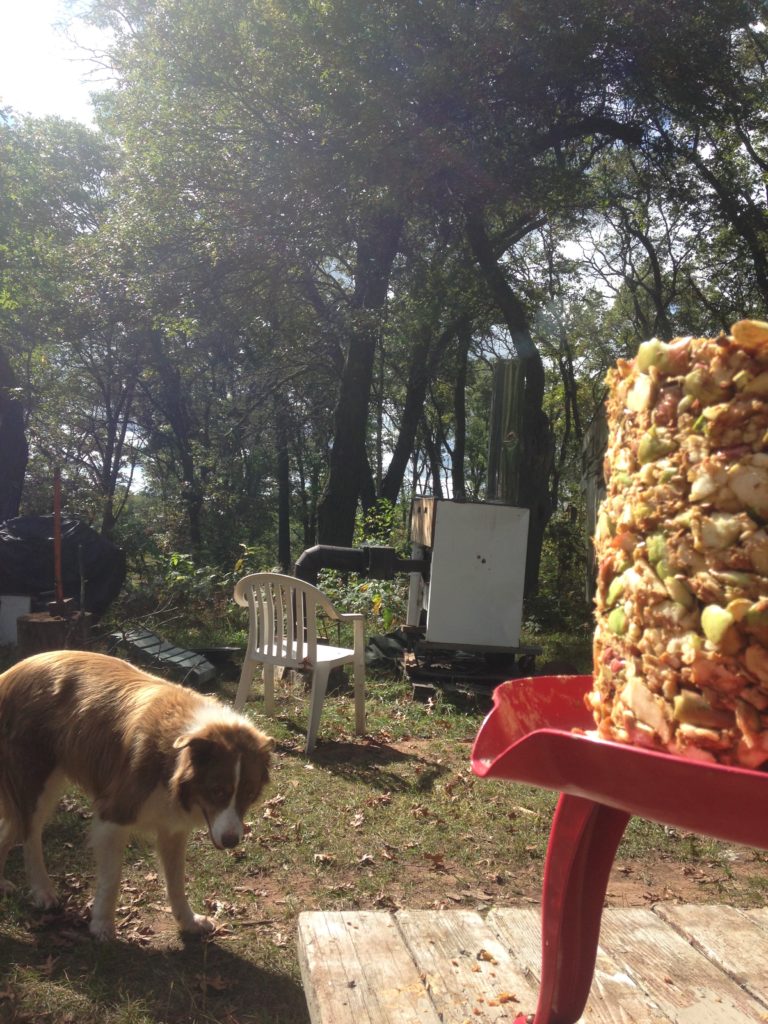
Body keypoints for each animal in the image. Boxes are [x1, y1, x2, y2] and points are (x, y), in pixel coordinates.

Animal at [0, 651, 274, 937]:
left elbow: (177, 882)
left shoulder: (173, 827)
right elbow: (112, 878)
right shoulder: (114, 815)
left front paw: (188, 922)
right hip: (35, 782)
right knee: (31, 836)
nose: (231, 841)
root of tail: (11, 673)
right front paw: (102, 925)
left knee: (9, 828)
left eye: (249, 794)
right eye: (217, 791)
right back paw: (42, 890)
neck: (171, 757)